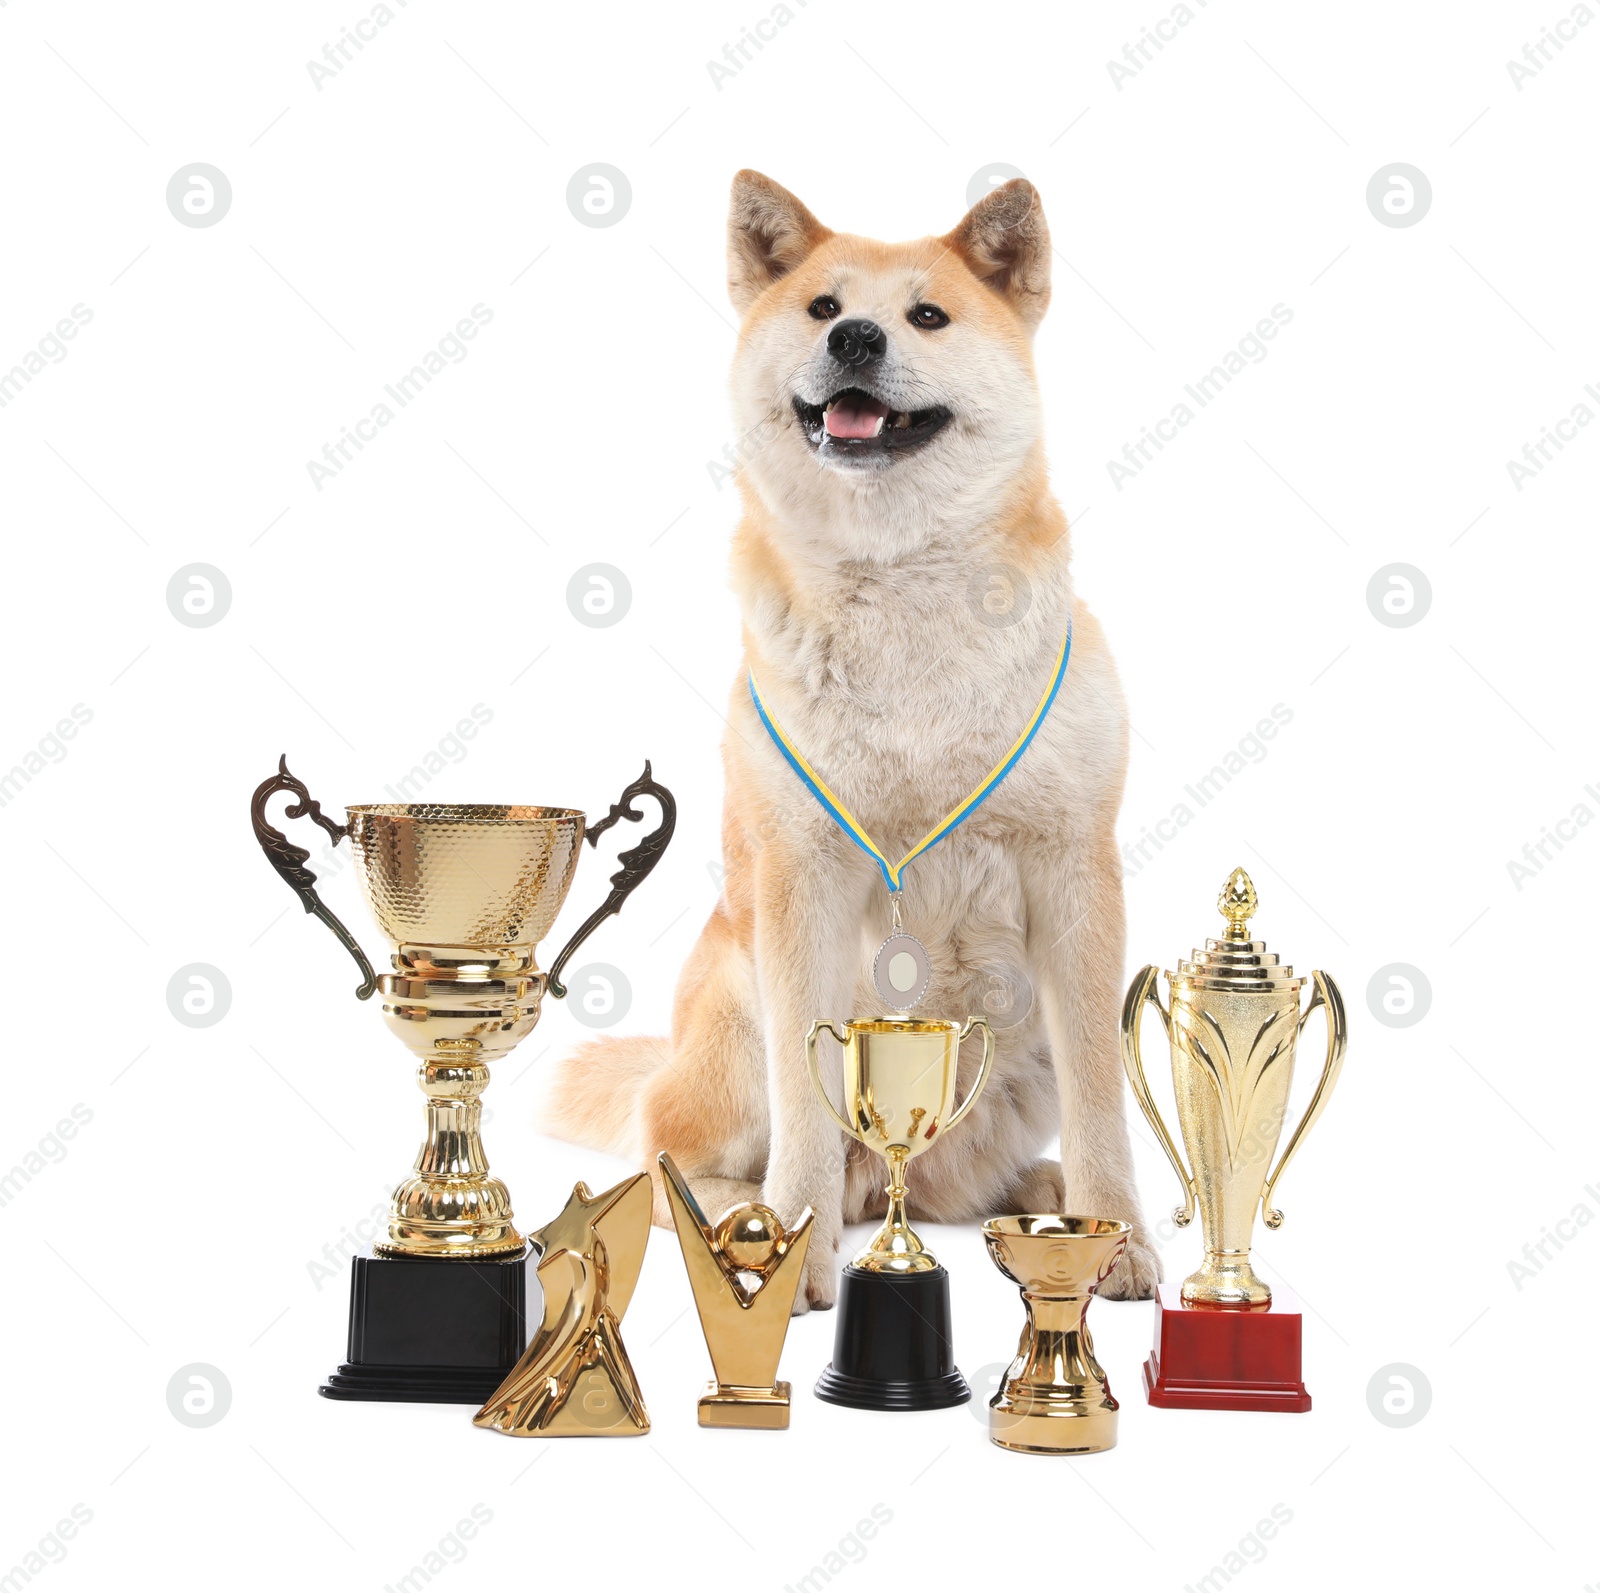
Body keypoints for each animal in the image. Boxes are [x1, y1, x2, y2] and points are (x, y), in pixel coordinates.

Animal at [544, 174, 1158, 1311]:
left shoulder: (1075, 874)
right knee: (672, 1153)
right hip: (732, 1004)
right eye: (823, 307)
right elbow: (805, 1100)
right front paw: (792, 1246)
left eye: (928, 315)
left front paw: (1116, 1235)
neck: (902, 588)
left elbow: (1106, 1093)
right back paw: (738, 1214)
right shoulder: (801, 882)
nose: (859, 338)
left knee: (956, 1179)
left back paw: (1030, 1189)